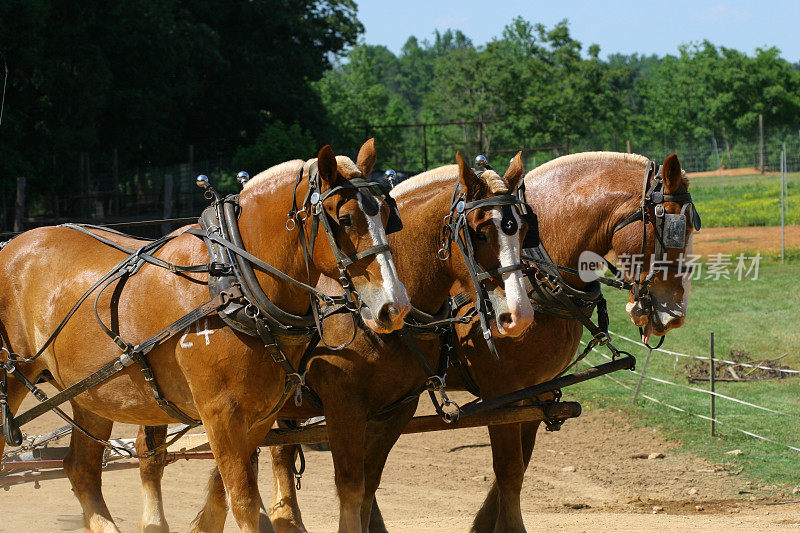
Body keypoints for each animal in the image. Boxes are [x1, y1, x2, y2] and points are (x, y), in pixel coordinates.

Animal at [0, 139, 410, 528]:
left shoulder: (259, 416)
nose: (395, 306)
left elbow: (223, 495)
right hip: (15, 378)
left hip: (91, 394)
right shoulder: (220, 414)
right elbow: (242, 502)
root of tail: (11, 245)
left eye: (386, 214)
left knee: (81, 469)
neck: (233, 277)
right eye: (345, 218)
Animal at [133, 151, 536, 532]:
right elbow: (350, 485)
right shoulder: (343, 405)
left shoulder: (396, 410)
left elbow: (368, 484)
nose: (519, 314)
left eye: (523, 230)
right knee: (152, 456)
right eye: (480, 232)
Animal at [268, 151, 692, 532]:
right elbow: (508, 469)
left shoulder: (535, 392)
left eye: (691, 229)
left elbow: (518, 467)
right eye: (673, 228)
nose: (673, 313)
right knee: (280, 451)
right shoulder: (501, 392)